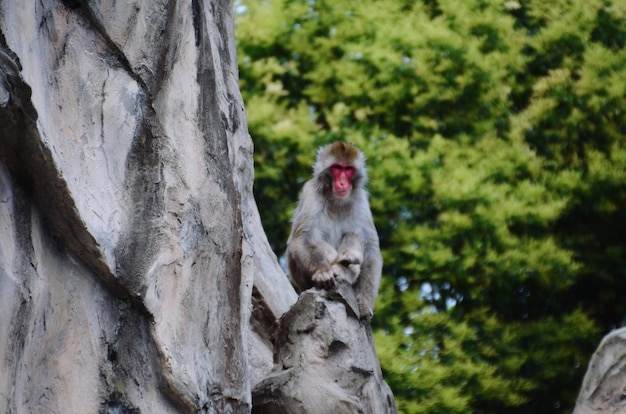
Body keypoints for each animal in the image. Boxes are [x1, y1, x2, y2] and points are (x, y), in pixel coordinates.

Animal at [286, 141, 382, 318]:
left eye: (348, 169)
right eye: (337, 167)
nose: (343, 183)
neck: (336, 200)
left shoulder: (361, 199)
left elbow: (371, 247)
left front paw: (364, 303)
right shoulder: (311, 191)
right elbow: (301, 237)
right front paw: (322, 270)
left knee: (353, 233)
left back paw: (348, 261)